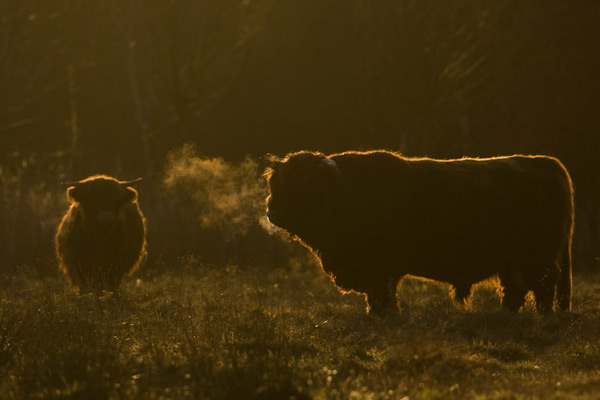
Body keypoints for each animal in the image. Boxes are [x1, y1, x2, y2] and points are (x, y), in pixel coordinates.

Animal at [264, 151, 576, 316]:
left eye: (303, 185)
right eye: (276, 183)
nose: (272, 211)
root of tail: (544, 161)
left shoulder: (379, 268)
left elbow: (382, 295)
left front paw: (382, 315)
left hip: (539, 259)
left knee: (542, 290)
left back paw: (542, 316)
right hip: (514, 262)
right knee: (515, 289)